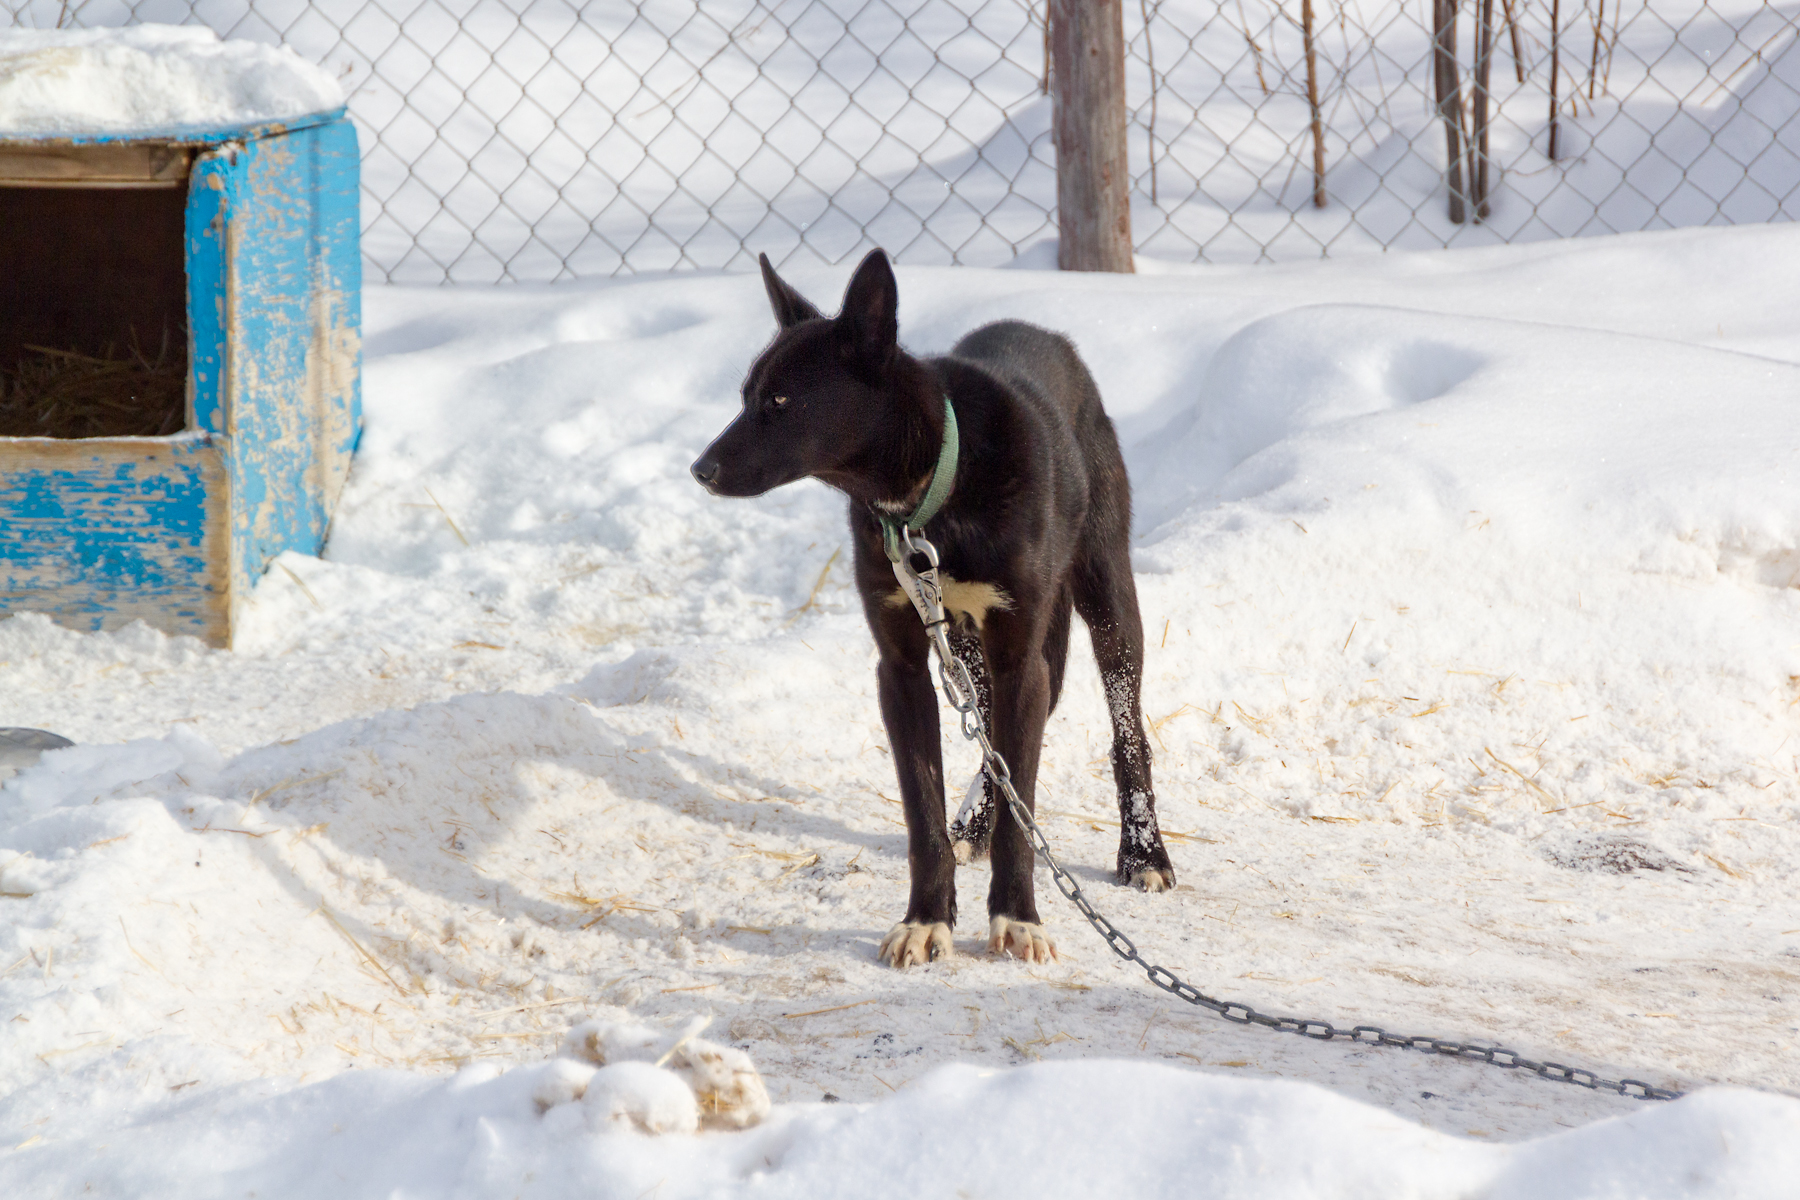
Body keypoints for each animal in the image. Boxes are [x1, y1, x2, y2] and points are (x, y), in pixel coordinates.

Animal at [684, 248, 1166, 971]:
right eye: (746, 396)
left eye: (780, 401)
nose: (701, 469)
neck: (934, 491)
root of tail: (1051, 339)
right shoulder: (904, 669)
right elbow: (923, 811)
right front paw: (926, 918)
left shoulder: (1019, 658)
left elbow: (1022, 808)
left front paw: (1018, 918)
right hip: (965, 646)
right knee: (990, 734)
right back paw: (976, 821)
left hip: (1106, 598)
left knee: (1125, 730)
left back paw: (1143, 850)